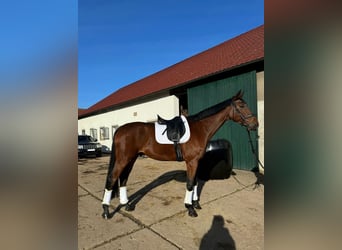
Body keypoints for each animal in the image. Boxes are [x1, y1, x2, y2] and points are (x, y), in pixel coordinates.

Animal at [103, 89, 258, 218]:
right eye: (242, 106)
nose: (255, 124)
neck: (200, 128)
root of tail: (120, 129)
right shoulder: (192, 162)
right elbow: (189, 184)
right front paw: (190, 208)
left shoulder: (196, 162)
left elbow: (195, 182)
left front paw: (195, 204)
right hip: (124, 159)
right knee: (112, 179)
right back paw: (106, 211)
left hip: (131, 158)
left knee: (123, 179)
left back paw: (127, 205)